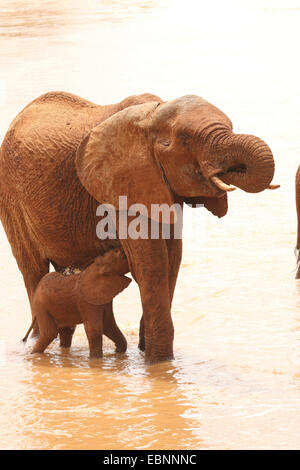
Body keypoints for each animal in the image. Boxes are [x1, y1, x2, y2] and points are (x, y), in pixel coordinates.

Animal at [0, 92, 276, 364]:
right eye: (184, 140)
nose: (232, 169)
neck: (153, 114)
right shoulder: (124, 184)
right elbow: (151, 263)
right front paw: (159, 362)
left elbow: (172, 260)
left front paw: (148, 353)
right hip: (11, 198)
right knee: (33, 270)